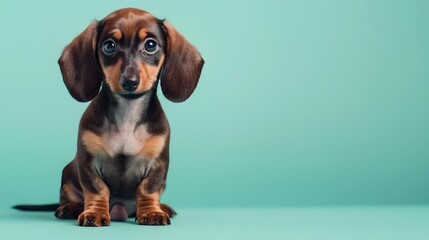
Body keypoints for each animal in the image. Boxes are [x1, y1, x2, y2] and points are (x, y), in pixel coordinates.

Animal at [49, 7, 201, 225]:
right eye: (109, 46)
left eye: (151, 45)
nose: (130, 81)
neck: (127, 112)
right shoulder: (87, 162)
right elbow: (96, 190)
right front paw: (94, 213)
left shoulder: (158, 164)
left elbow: (148, 189)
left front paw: (152, 212)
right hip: (68, 173)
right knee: (69, 195)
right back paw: (70, 207)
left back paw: (163, 207)